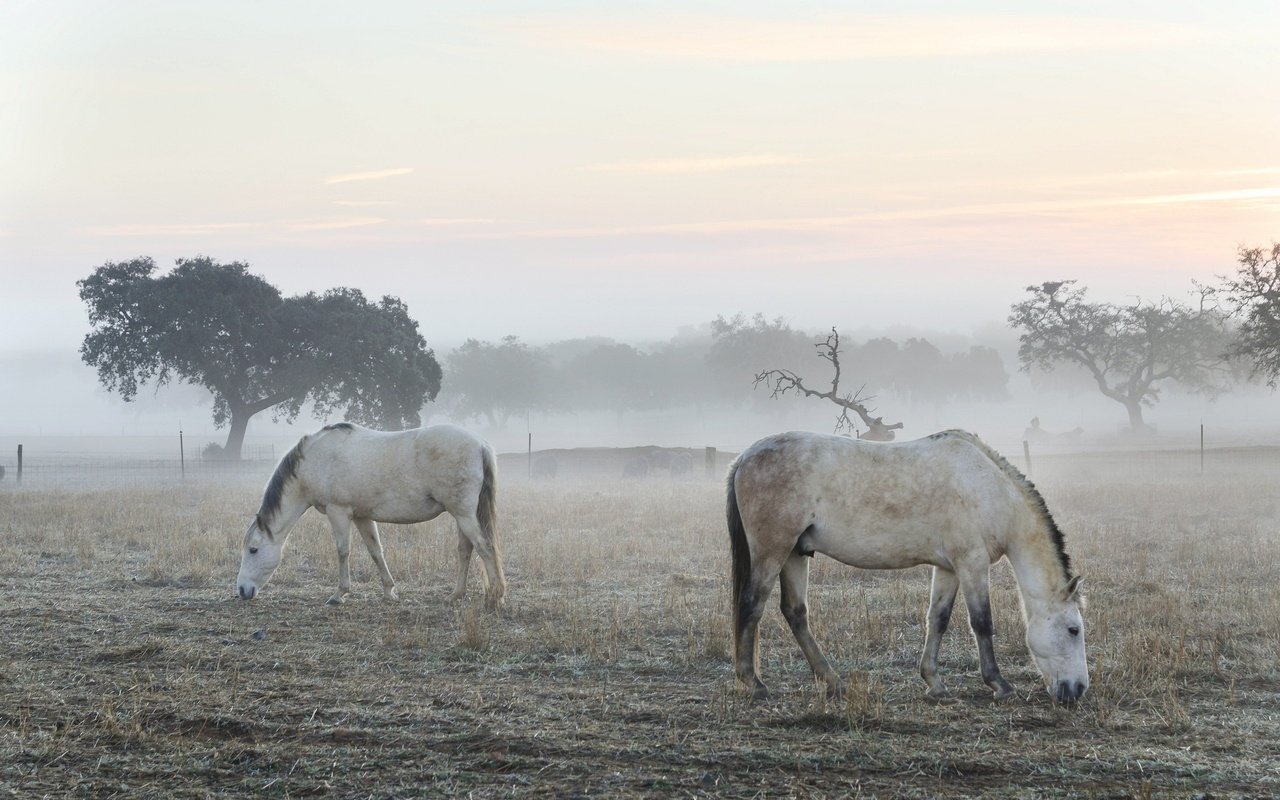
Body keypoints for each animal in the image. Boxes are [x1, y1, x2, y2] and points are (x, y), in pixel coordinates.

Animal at [240, 422, 504, 609]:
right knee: (465, 551)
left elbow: (343, 551)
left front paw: (339, 594)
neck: (316, 459)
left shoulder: (338, 512)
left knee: (485, 548)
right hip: (462, 516)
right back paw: (457, 595)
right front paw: (389, 591)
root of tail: (480, 443)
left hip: (464, 515)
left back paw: (496, 597)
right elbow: (376, 551)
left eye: (253, 550)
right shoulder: (362, 516)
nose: (241, 590)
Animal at [732, 430, 1090, 696]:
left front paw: (934, 682)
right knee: (752, 604)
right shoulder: (972, 564)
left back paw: (833, 681)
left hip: (795, 553)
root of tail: (745, 456)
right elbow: (982, 622)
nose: (1078, 689)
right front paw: (999, 684)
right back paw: (754, 683)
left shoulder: (949, 568)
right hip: (773, 550)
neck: (990, 490)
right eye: (1073, 630)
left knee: (795, 613)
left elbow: (938, 618)